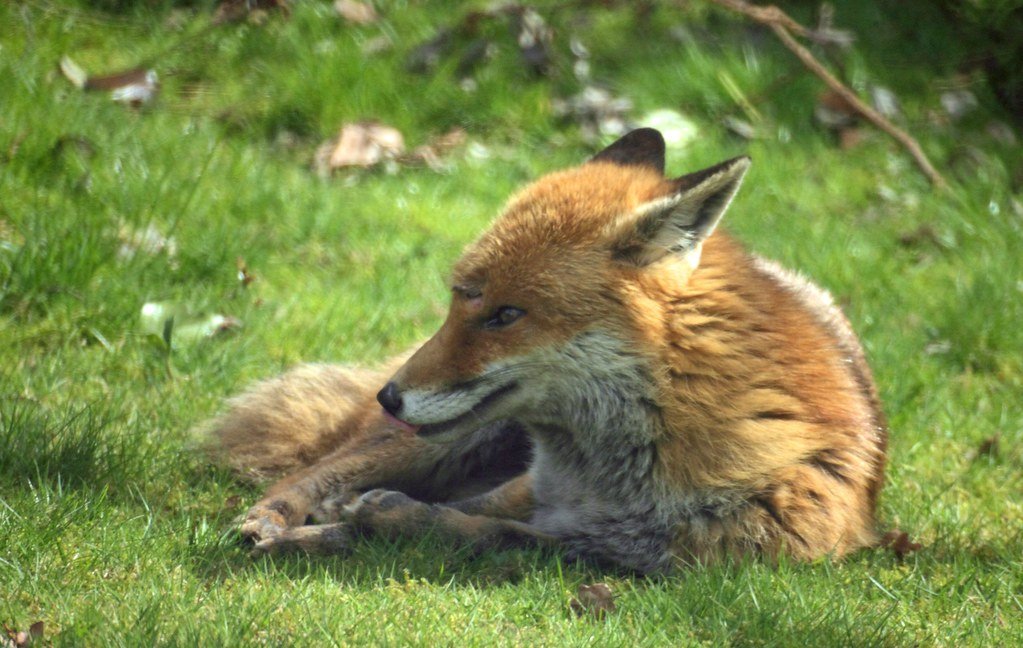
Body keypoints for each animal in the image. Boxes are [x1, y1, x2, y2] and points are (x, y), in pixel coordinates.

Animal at [205, 128, 888, 572]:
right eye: (457, 301)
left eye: (506, 315)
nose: (390, 396)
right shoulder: (537, 490)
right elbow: (443, 517)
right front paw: (323, 530)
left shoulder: (640, 556)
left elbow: (488, 534)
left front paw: (379, 522)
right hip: (456, 436)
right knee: (324, 466)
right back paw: (275, 513)